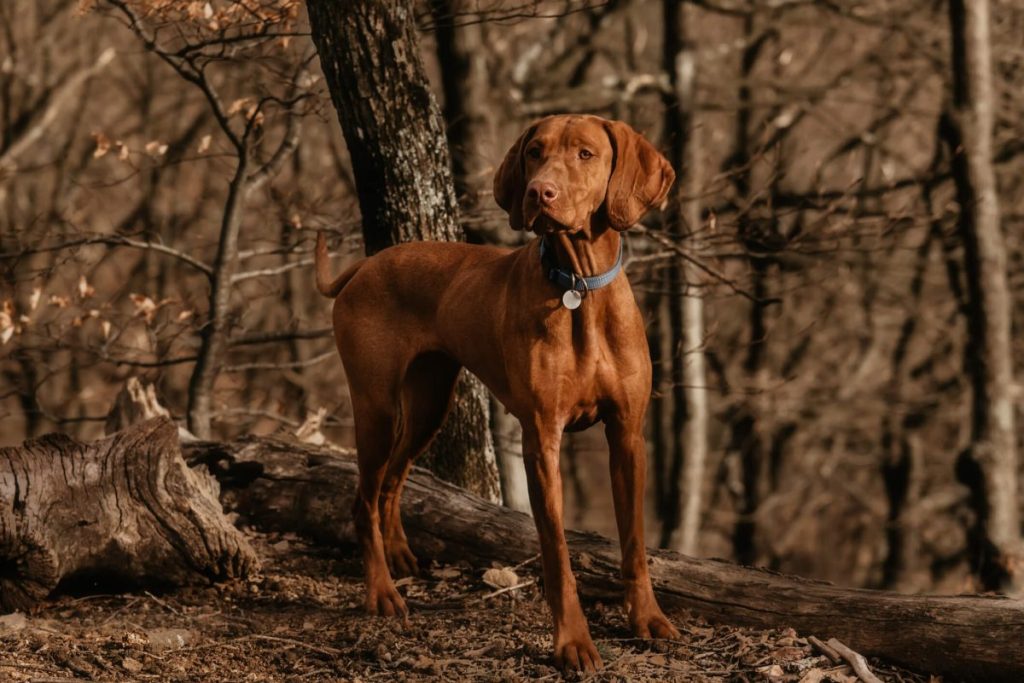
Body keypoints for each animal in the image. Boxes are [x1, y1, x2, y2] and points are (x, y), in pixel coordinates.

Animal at [311, 114, 679, 671]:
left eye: (586, 154)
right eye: (534, 152)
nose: (539, 192)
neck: (581, 286)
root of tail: (365, 265)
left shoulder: (628, 435)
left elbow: (635, 544)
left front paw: (648, 620)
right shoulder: (541, 441)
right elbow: (557, 554)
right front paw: (573, 642)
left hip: (429, 404)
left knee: (393, 481)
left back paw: (400, 557)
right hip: (376, 407)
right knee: (363, 499)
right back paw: (381, 591)